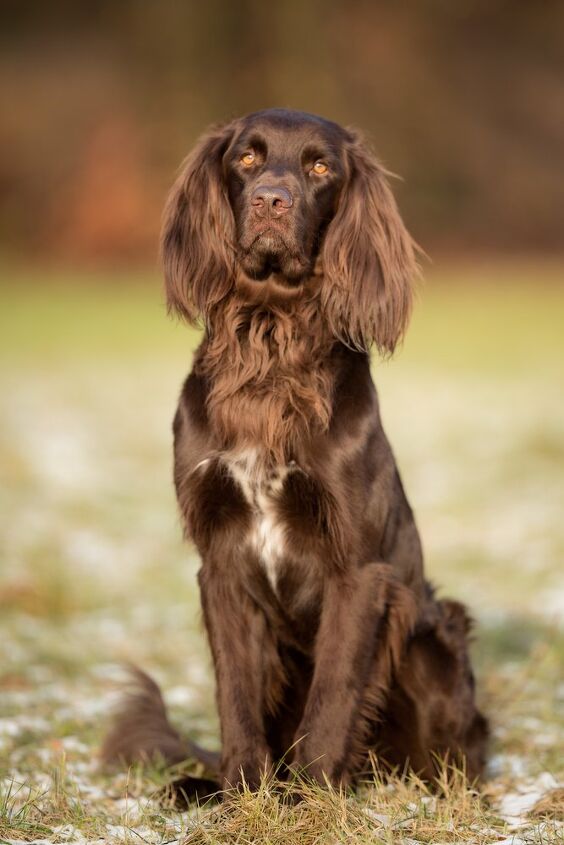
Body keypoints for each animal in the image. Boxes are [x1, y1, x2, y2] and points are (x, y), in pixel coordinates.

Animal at [102, 109, 490, 796]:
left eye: (320, 167)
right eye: (247, 159)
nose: (270, 203)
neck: (269, 341)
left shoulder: (358, 571)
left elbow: (334, 694)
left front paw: (312, 800)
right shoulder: (220, 561)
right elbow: (235, 692)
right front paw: (242, 795)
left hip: (433, 638)